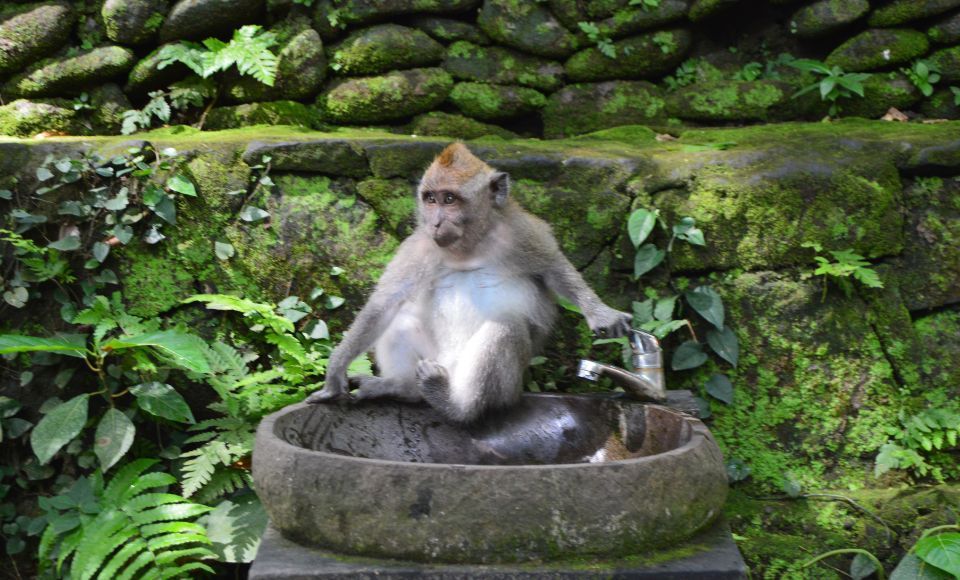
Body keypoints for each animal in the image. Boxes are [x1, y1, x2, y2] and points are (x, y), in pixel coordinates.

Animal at [305, 143, 632, 424]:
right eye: (430, 199)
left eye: (449, 199)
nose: (436, 222)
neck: (469, 246)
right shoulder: (420, 247)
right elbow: (384, 304)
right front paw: (335, 372)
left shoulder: (522, 233)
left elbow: (554, 268)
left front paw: (602, 314)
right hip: (434, 356)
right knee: (402, 318)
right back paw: (402, 387)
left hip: (500, 385)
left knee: (504, 329)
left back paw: (457, 406)